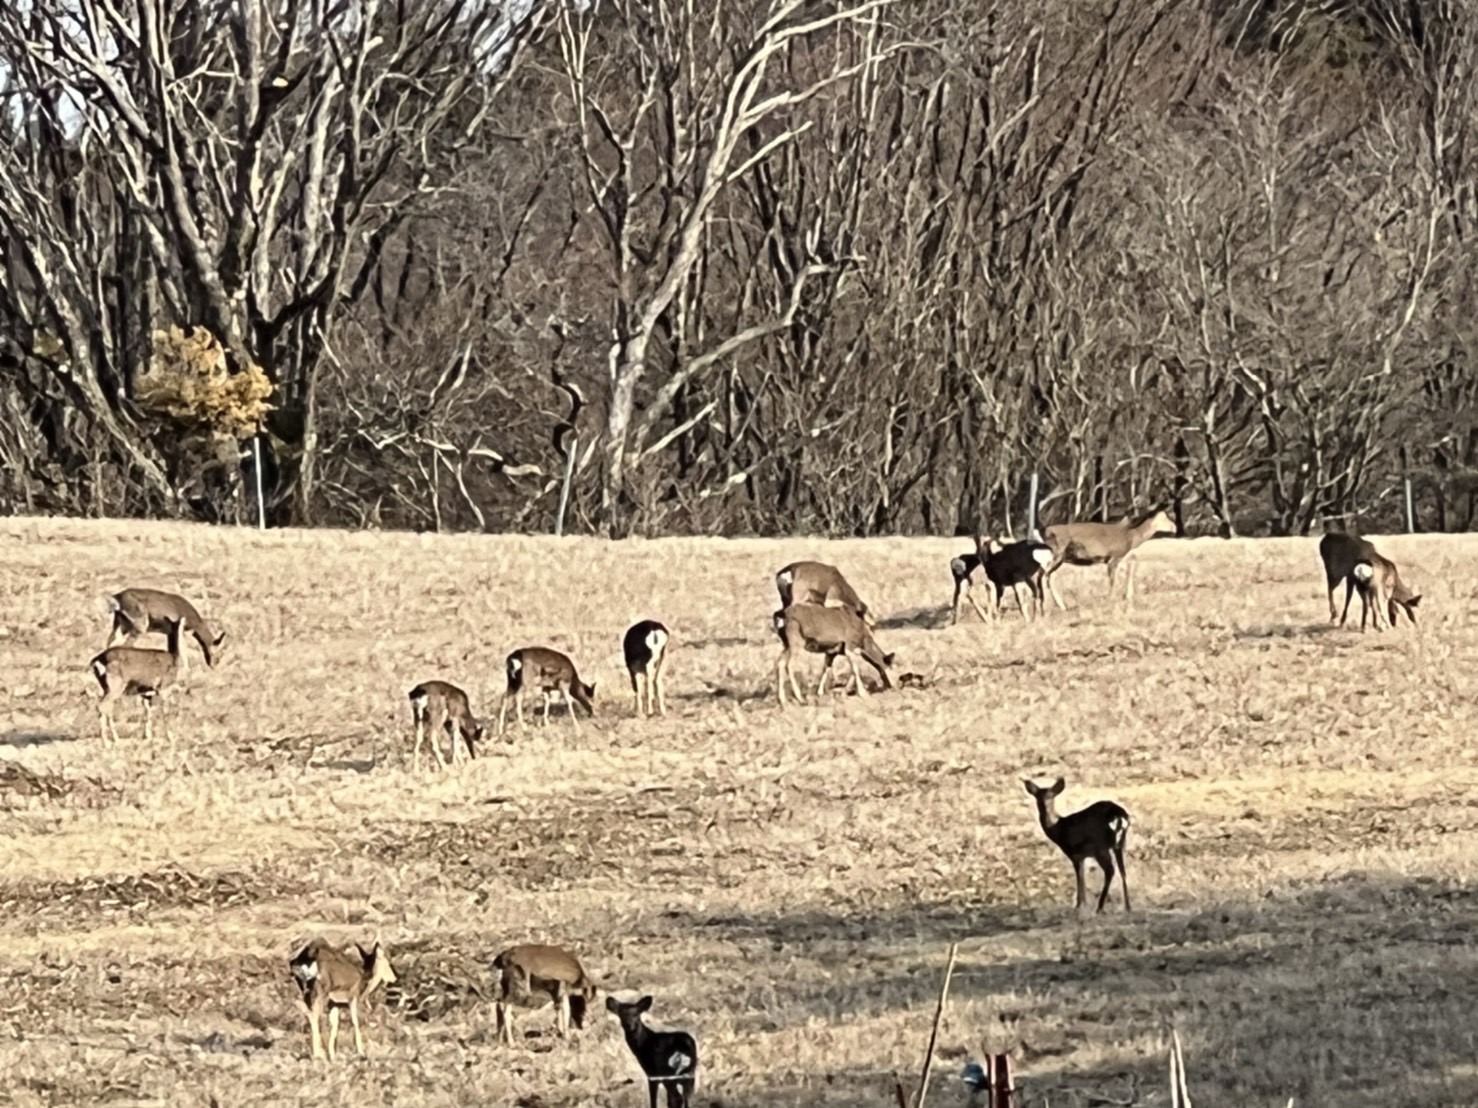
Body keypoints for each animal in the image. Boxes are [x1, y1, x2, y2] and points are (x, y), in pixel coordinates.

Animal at [89, 617, 184, 747]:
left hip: (106, 688)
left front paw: (147, 737)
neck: (173, 658)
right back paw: (111, 742)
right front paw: (170, 737)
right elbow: (166, 712)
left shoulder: (146, 694)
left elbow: (147, 713)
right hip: (115, 688)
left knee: (105, 707)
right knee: (102, 706)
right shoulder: (164, 689)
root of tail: (98, 660)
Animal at [1022, 774, 1135, 915]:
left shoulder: (1074, 853)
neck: (1058, 828)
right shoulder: (1082, 856)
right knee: (1122, 871)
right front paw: (1083, 904)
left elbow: (1079, 878)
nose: (1044, 806)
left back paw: (1099, 907)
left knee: (1110, 870)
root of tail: (1120, 816)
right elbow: (1083, 877)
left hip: (1100, 845)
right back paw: (1128, 907)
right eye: (1037, 796)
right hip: (1119, 843)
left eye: (1050, 796)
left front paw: (1079, 905)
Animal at [1040, 511, 1176, 608]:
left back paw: (1059, 605)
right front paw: (1111, 598)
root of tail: (1046, 532)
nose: (1175, 527)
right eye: (1163, 518)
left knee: (1048, 576)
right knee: (1044, 575)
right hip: (1057, 555)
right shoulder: (1115, 557)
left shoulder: (1113, 559)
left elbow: (1129, 566)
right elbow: (1113, 580)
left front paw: (1128, 595)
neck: (1131, 537)